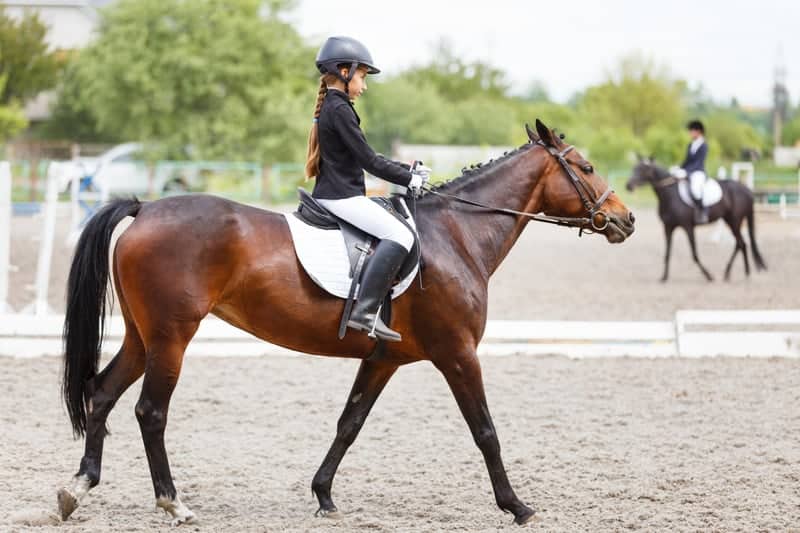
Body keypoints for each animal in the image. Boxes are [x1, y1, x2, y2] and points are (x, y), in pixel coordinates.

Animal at [56, 119, 636, 524]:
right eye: (585, 167)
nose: (626, 219)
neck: (457, 234)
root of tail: (145, 209)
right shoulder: (457, 354)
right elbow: (486, 431)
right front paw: (517, 505)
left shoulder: (384, 359)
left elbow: (349, 423)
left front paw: (324, 496)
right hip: (172, 338)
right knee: (150, 412)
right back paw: (172, 503)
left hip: (143, 336)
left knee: (102, 394)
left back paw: (76, 489)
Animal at [628, 158, 764, 282]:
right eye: (634, 168)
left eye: (643, 169)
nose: (628, 186)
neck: (670, 194)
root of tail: (746, 189)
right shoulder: (668, 227)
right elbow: (667, 253)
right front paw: (664, 277)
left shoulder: (688, 226)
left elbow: (694, 254)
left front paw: (708, 275)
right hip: (729, 220)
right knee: (741, 244)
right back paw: (742, 272)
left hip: (734, 221)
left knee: (741, 243)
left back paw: (733, 272)